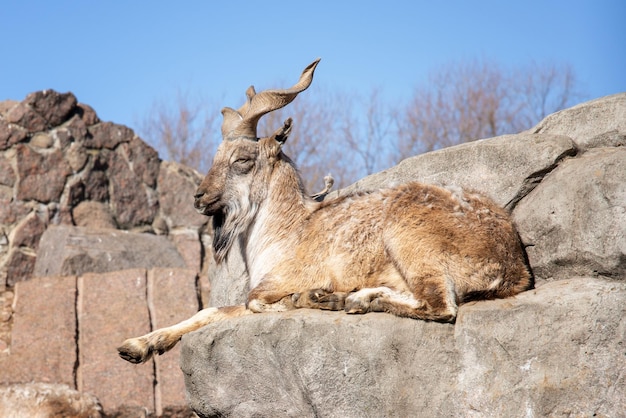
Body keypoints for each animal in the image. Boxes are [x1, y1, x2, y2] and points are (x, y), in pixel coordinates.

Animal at [116, 59, 528, 366]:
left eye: (242, 160)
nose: (199, 197)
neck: (287, 230)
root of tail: (513, 262)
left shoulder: (272, 286)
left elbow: (250, 303)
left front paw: (299, 299)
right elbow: (207, 313)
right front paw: (134, 347)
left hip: (409, 241)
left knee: (441, 306)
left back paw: (340, 299)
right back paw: (345, 299)